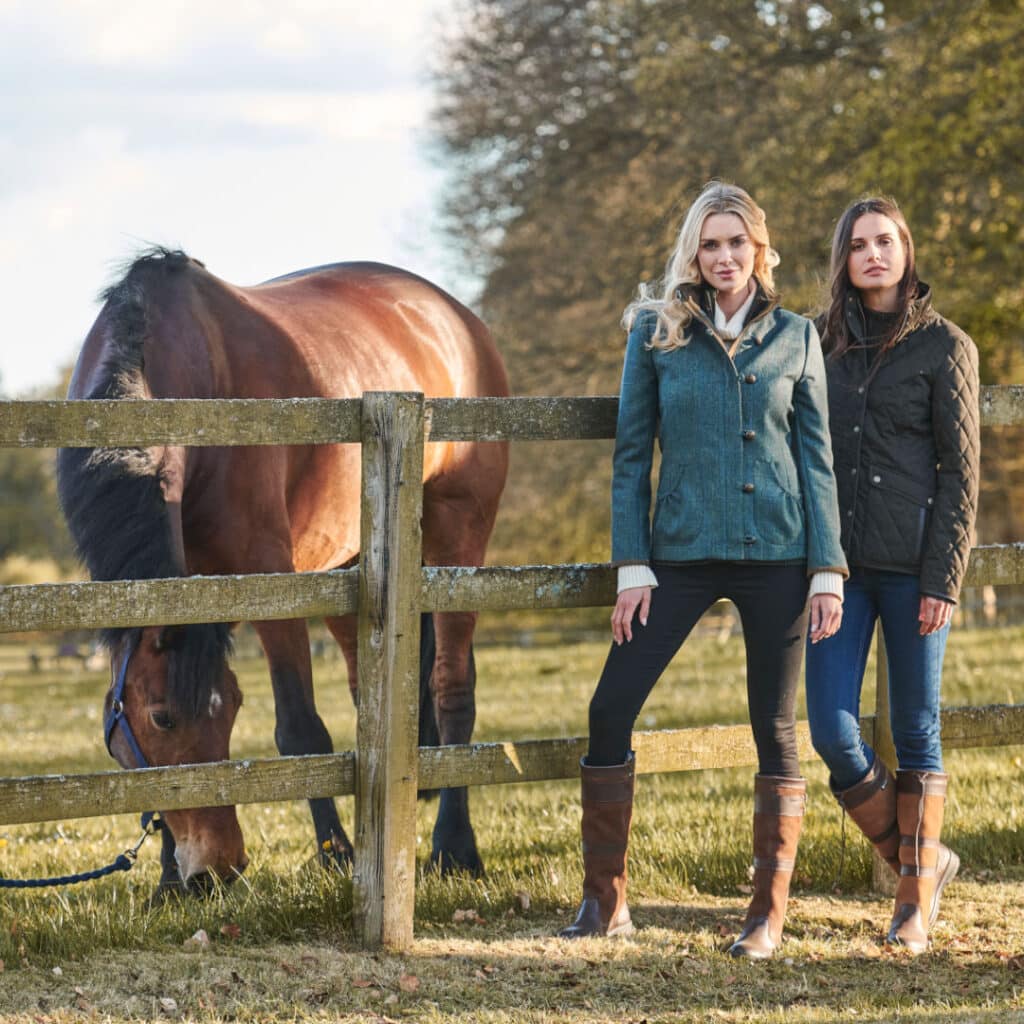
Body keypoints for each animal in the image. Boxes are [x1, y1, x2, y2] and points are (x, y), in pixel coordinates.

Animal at [56, 253, 507, 897]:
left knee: (452, 690)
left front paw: (337, 854)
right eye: (162, 716)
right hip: (350, 565)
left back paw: (454, 848)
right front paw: (168, 879)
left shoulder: (268, 575)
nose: (216, 870)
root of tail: (454, 314)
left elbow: (300, 730)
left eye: (232, 708)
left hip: (459, 538)